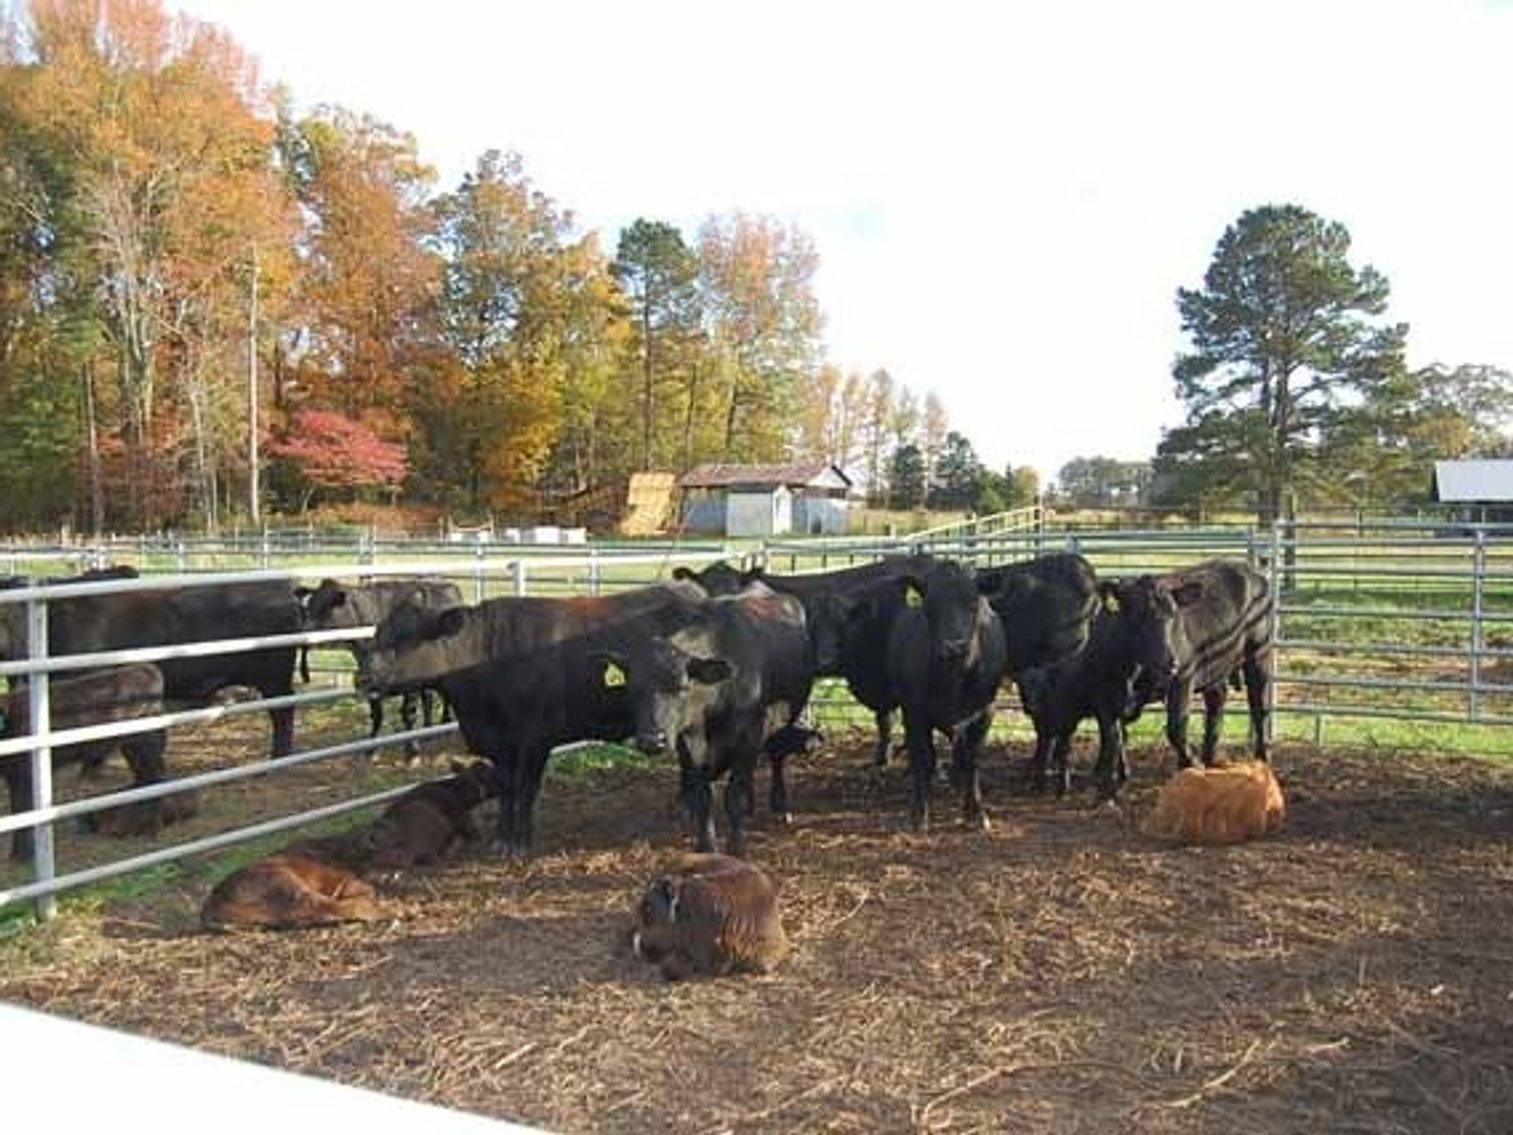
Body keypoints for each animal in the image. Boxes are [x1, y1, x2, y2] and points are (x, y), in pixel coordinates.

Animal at [1, 663, 186, 860]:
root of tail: (145, 669)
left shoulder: (23, 775)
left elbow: (23, 812)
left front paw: (21, 856)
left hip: (145, 745)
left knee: (154, 779)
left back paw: (150, 829)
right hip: (133, 748)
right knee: (145, 779)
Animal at [298, 577, 464, 761]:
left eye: (326, 607)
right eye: (309, 607)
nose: (303, 632)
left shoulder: (411, 679)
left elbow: (409, 713)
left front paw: (412, 749)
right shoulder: (369, 679)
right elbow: (377, 713)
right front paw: (371, 749)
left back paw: (444, 723)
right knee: (428, 696)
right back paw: (429, 730)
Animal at [358, 581, 711, 857]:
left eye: (406, 638)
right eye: (379, 633)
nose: (361, 678)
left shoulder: (535, 738)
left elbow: (525, 789)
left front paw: (520, 844)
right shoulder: (499, 744)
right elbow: (506, 787)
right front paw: (502, 839)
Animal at [593, 583, 813, 856]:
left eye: (682, 687)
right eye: (632, 690)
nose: (651, 741)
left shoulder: (750, 733)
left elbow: (734, 794)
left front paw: (736, 846)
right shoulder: (687, 741)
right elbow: (702, 795)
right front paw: (706, 844)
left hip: (788, 713)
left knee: (776, 755)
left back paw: (779, 804)